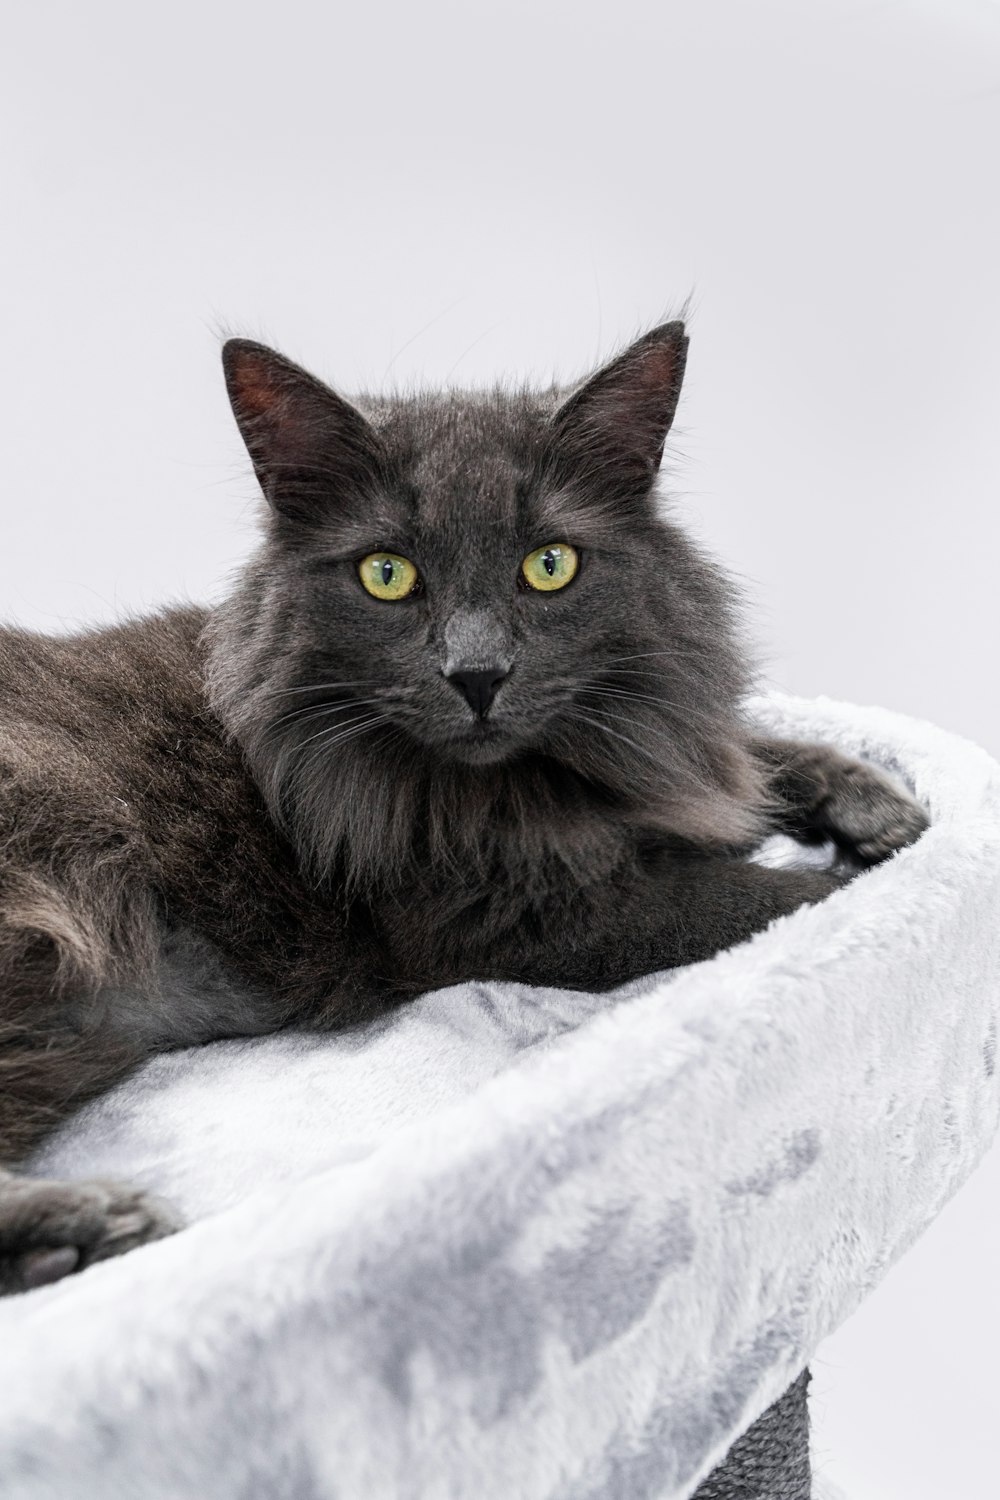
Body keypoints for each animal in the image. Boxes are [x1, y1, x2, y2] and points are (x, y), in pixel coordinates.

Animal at [0, 322, 929, 1296]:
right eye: (386, 574)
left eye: (550, 566)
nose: (477, 674)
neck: (519, 784)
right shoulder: (517, 918)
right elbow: (765, 897)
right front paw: (866, 870)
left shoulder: (657, 756)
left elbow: (749, 760)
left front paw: (873, 805)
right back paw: (88, 1225)